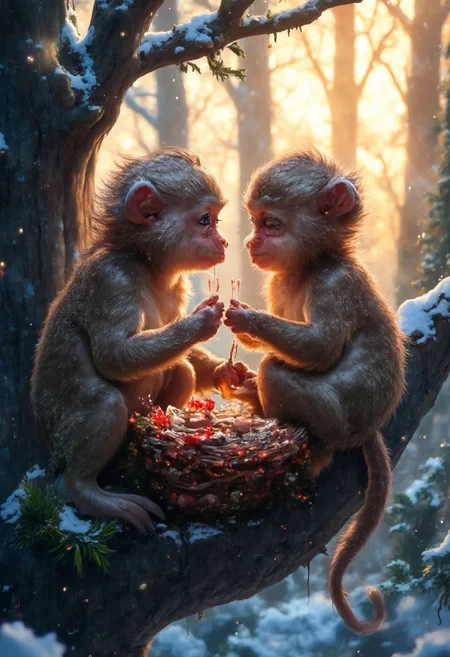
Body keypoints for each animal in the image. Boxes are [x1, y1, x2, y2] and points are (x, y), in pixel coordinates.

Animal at [31, 147, 250, 533]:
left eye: (216, 221)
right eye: (205, 220)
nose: (223, 242)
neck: (148, 264)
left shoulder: (176, 286)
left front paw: (225, 373)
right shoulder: (111, 279)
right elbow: (114, 356)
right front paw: (201, 322)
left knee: (180, 370)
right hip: (60, 441)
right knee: (106, 401)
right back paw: (87, 489)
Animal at [223, 150, 406, 635]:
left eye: (271, 224)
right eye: (255, 221)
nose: (250, 242)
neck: (310, 264)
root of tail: (367, 428)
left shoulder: (334, 284)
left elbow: (321, 349)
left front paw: (246, 319)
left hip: (335, 417)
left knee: (278, 373)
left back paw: (305, 444)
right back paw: (251, 396)